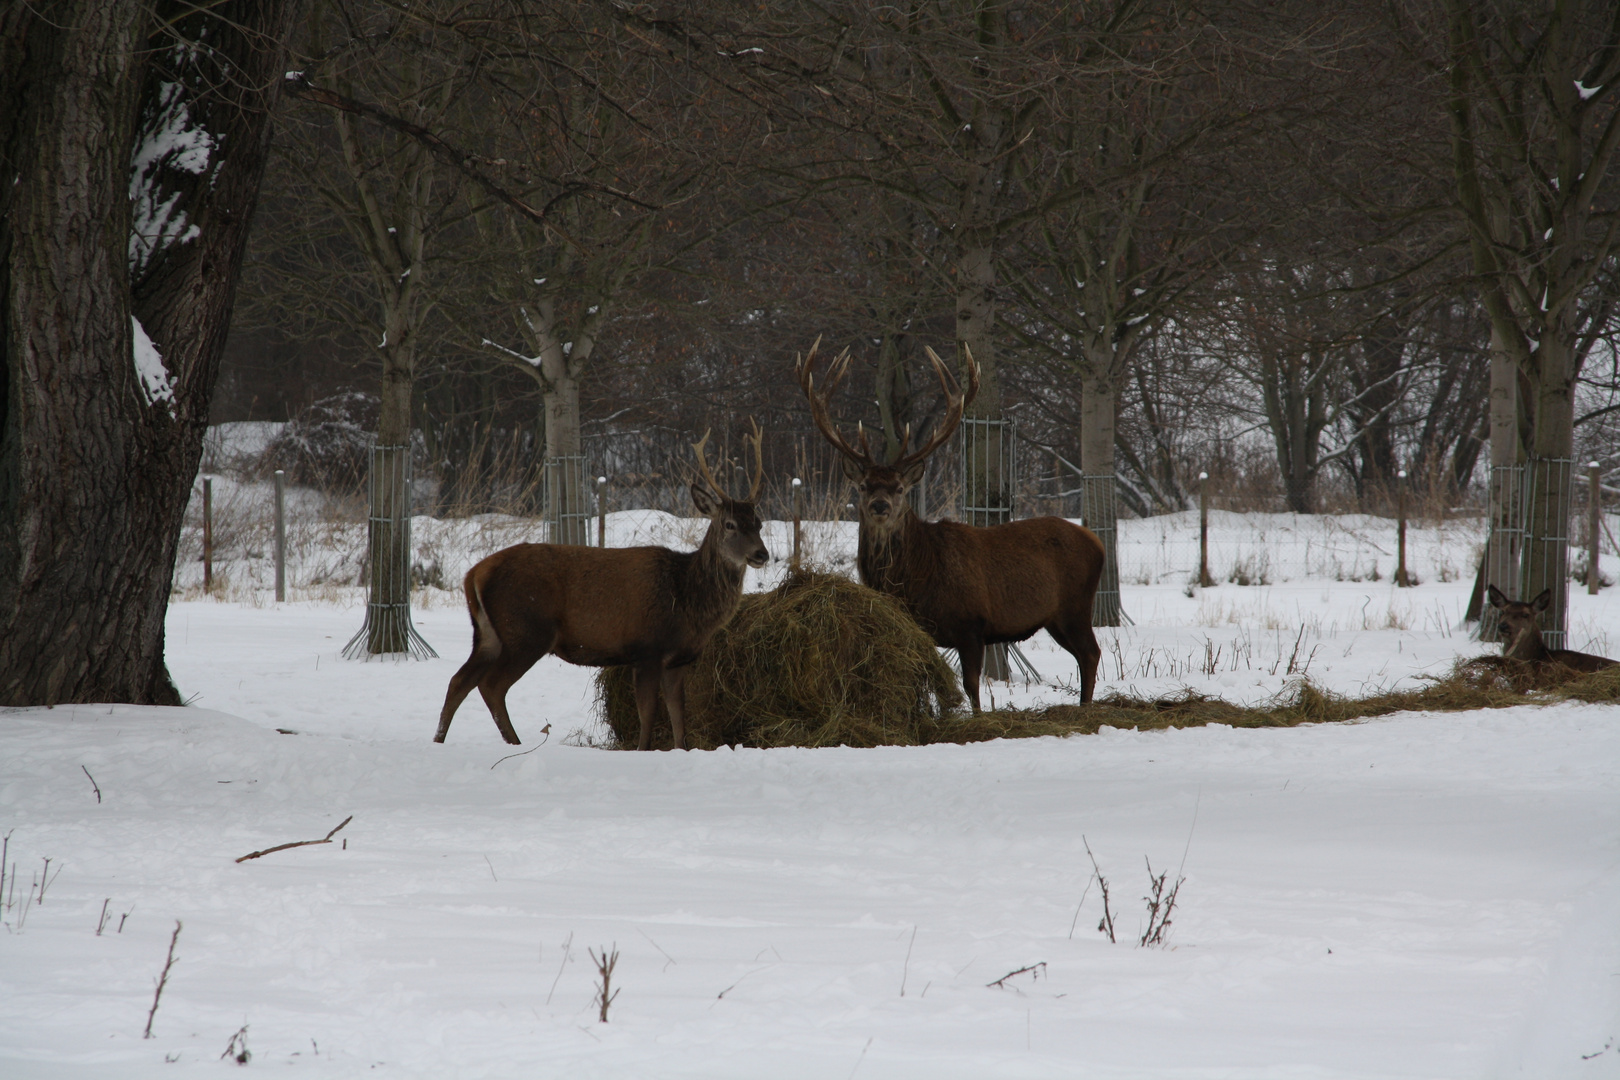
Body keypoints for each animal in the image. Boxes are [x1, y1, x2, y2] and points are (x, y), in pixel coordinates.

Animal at [434, 427, 767, 748]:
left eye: (759, 523)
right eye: (729, 524)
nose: (761, 554)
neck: (685, 597)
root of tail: (474, 574)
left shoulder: (678, 658)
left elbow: (678, 715)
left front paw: (679, 749)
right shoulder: (646, 648)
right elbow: (649, 713)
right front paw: (642, 750)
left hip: (489, 634)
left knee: (459, 680)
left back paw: (440, 740)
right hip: (526, 630)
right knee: (490, 685)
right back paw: (513, 743)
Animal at [800, 340, 1108, 709]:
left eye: (900, 488)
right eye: (862, 486)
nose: (880, 505)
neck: (917, 581)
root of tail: (1098, 543)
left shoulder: (972, 624)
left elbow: (972, 685)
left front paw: (977, 716)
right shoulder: (922, 631)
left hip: (1076, 605)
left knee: (1091, 653)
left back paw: (1085, 707)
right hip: (1056, 618)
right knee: (1086, 654)